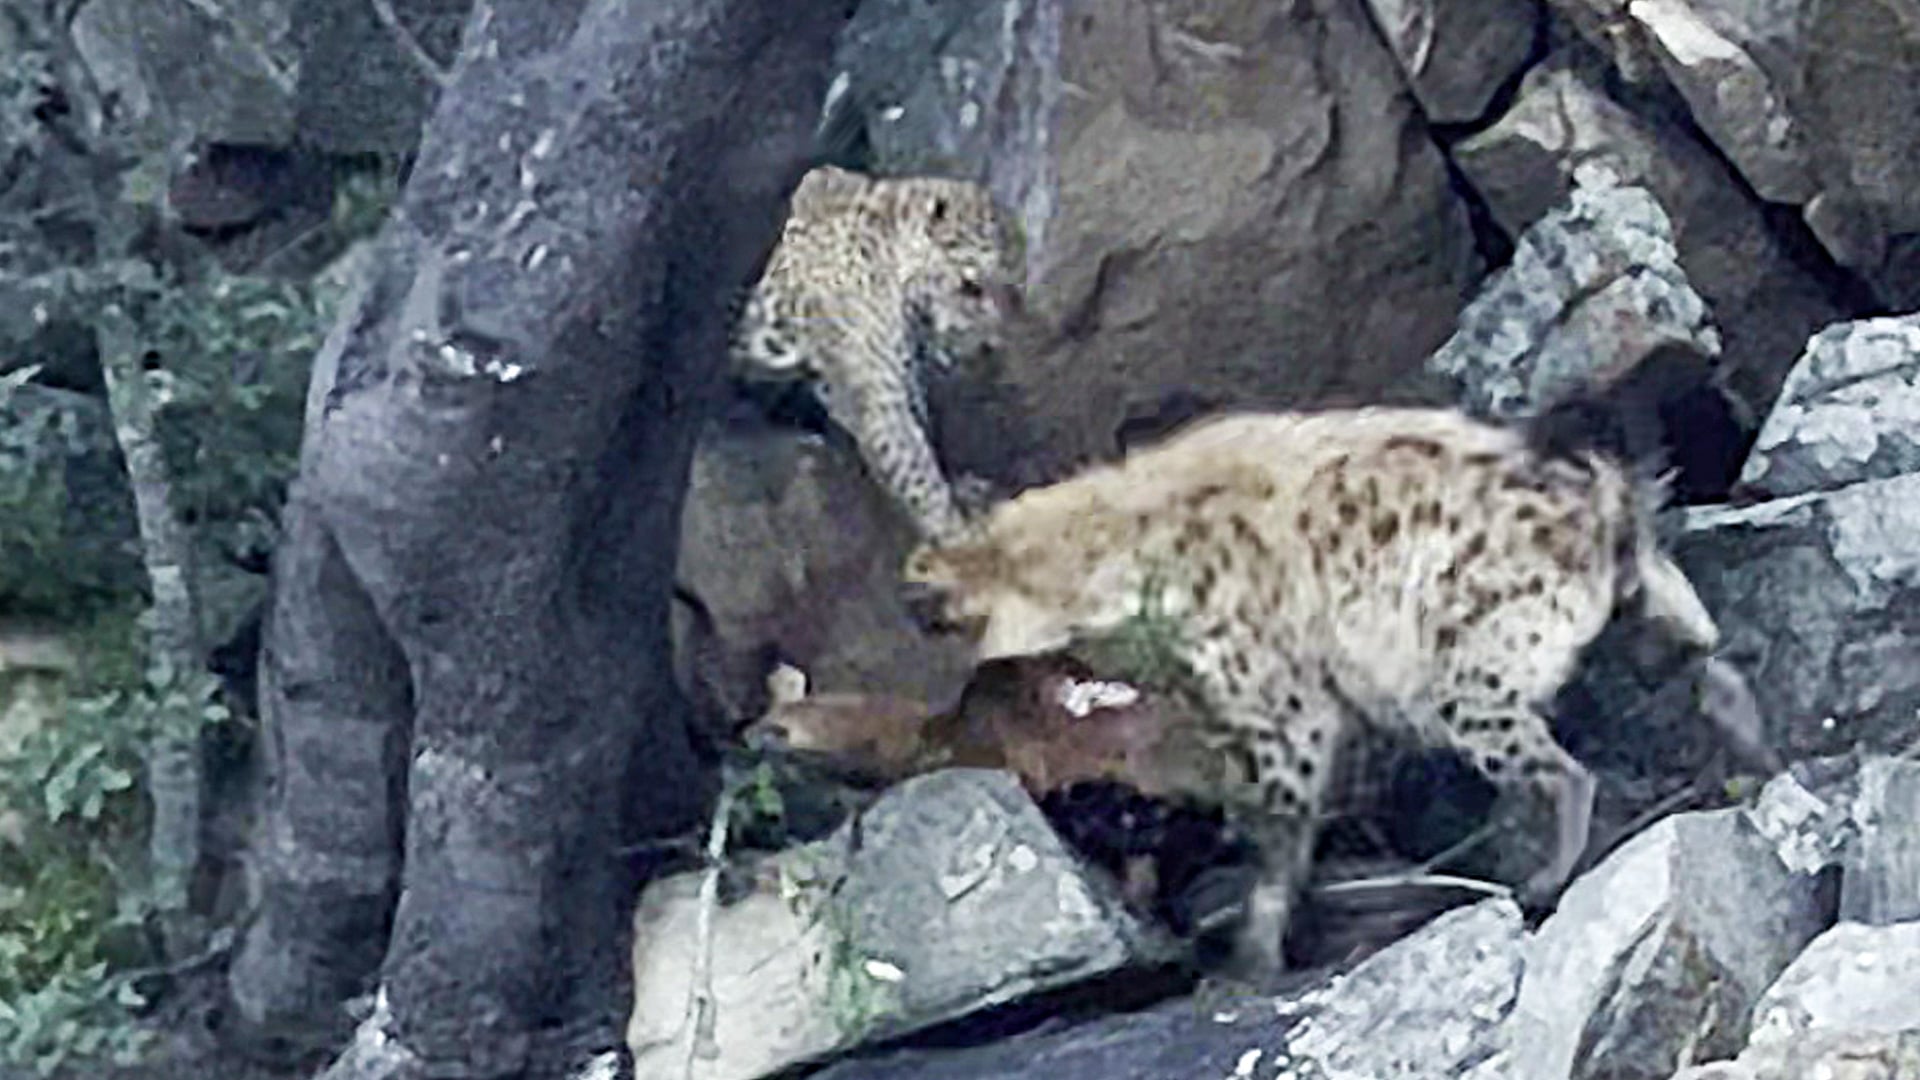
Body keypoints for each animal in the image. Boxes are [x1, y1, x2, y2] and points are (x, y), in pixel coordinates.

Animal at [729, 164, 1024, 541]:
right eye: (970, 288)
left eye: (1012, 292)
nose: (990, 348)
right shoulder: (876, 391)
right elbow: (913, 463)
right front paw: (955, 532)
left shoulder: (900, 372)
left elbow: (923, 431)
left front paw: (959, 489)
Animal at [899, 403, 1775, 977]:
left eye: (947, 622)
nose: (911, 602)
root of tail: (1601, 510)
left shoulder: (1279, 692)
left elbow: (1278, 824)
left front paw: (1252, 953)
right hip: (1645, 599)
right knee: (1704, 663)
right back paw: (1755, 756)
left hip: (1465, 666)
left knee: (1563, 769)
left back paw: (1545, 878)